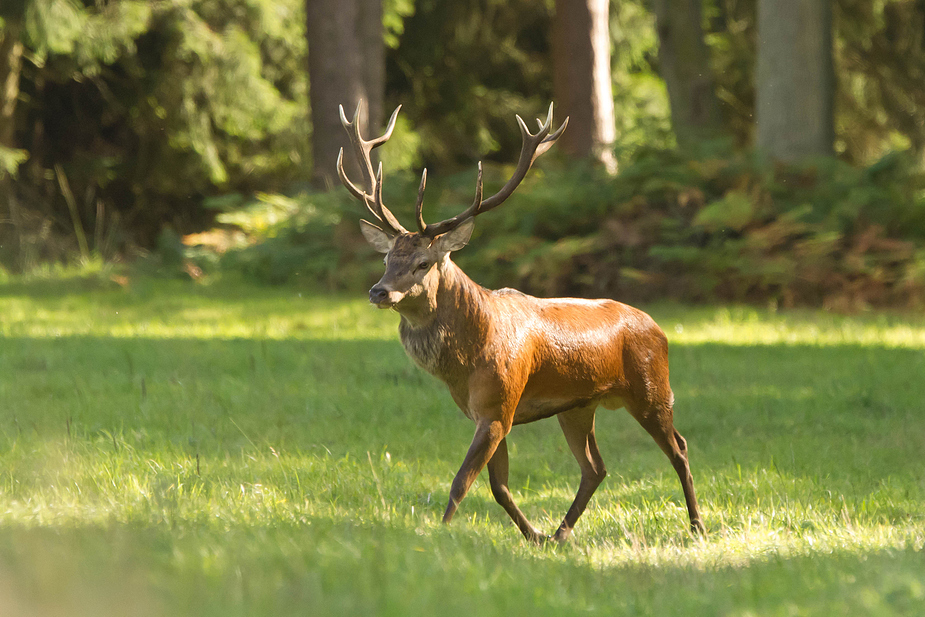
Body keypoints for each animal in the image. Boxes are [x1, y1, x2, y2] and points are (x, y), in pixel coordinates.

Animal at [336, 102, 704, 544]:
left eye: (423, 263)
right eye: (387, 258)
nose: (379, 291)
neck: (467, 361)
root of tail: (659, 329)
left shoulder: (499, 405)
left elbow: (462, 481)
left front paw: (438, 533)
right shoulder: (486, 411)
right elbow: (498, 486)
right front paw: (534, 535)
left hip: (652, 390)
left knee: (680, 447)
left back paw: (698, 526)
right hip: (579, 406)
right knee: (595, 467)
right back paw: (561, 533)